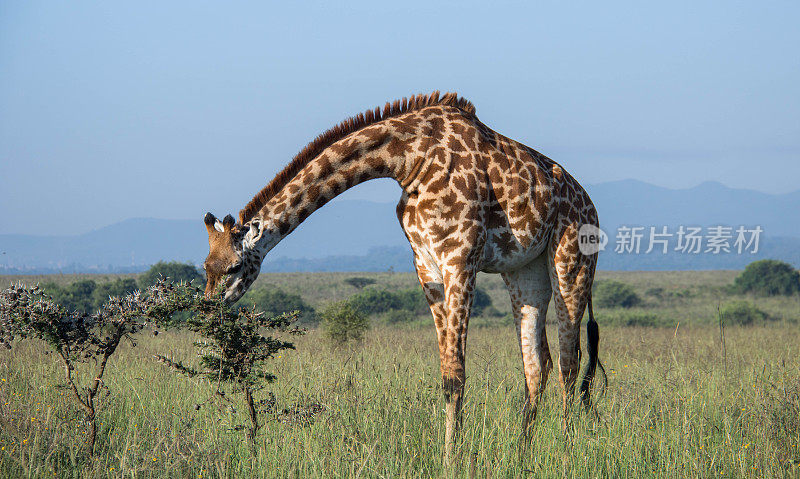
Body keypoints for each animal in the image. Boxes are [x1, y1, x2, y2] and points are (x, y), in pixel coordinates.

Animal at [203, 91, 604, 462]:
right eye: (206, 266)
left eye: (234, 267)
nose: (207, 310)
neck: (408, 158)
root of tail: (591, 206)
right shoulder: (426, 267)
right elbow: (447, 375)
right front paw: (451, 452)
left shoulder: (460, 262)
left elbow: (457, 374)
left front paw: (451, 460)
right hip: (524, 272)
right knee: (538, 366)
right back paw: (523, 454)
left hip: (571, 263)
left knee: (569, 361)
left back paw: (566, 449)